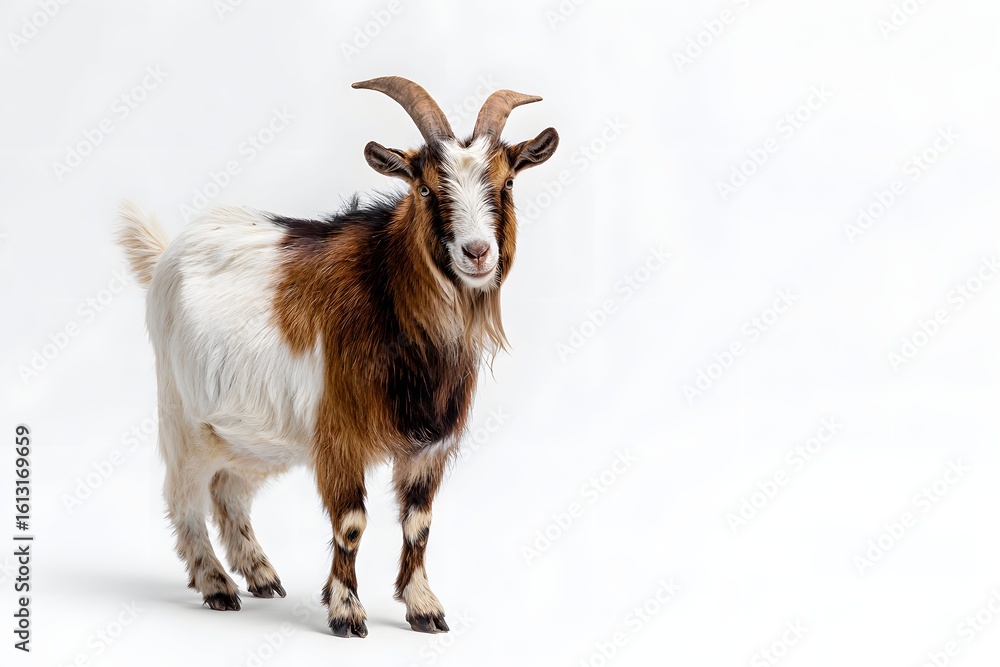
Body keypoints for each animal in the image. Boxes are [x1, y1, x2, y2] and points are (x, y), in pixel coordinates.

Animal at [117, 76, 558, 638]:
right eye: (424, 187)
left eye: (507, 183)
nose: (477, 252)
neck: (390, 300)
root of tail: (167, 255)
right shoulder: (340, 436)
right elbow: (351, 523)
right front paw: (346, 612)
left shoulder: (429, 445)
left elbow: (418, 524)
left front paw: (423, 608)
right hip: (183, 418)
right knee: (184, 497)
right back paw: (216, 584)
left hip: (249, 433)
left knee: (230, 492)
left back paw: (260, 574)